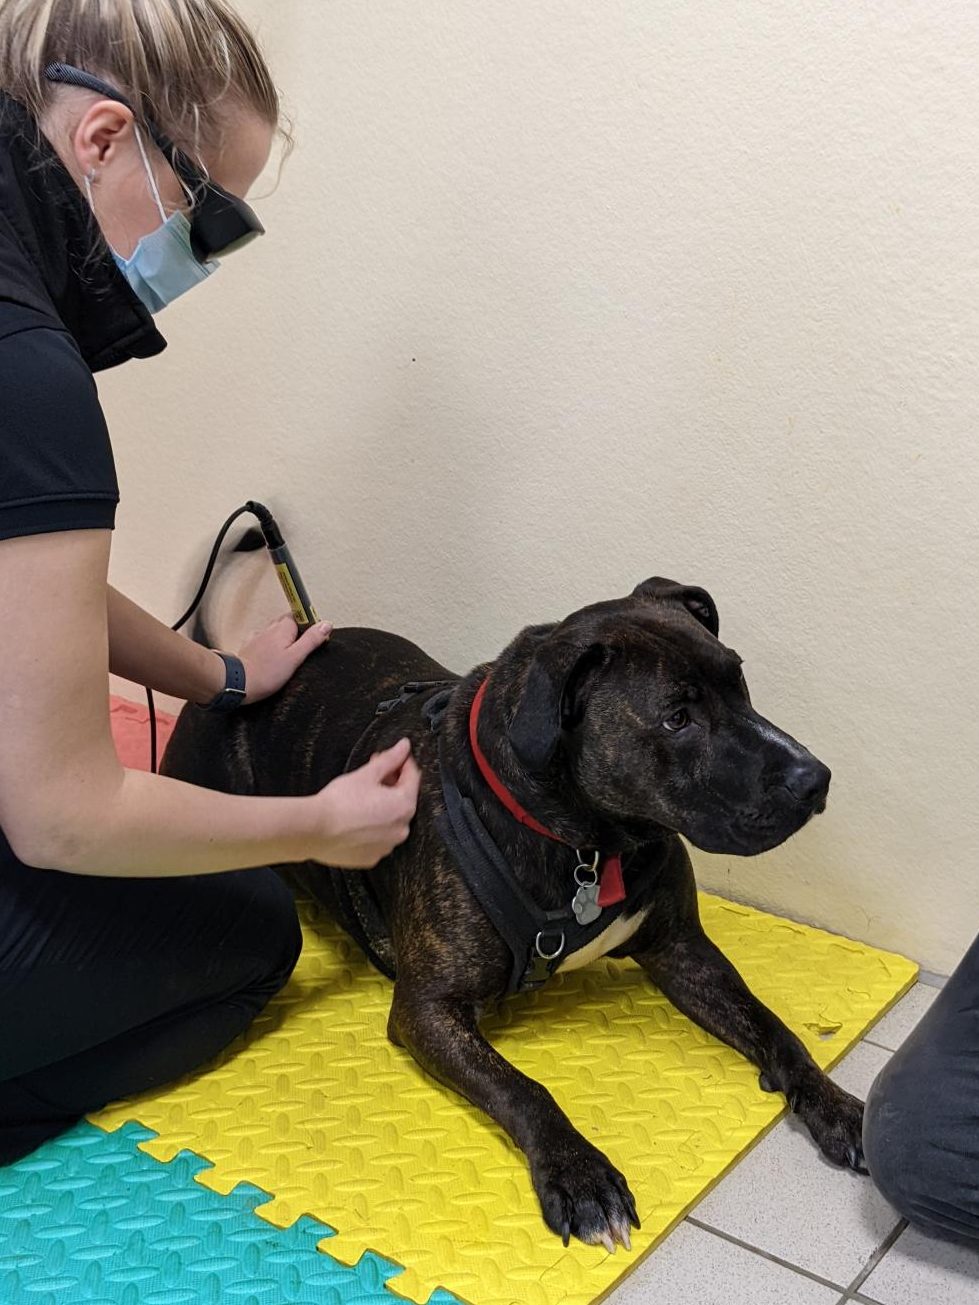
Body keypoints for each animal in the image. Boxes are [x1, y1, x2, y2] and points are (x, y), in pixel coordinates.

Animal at [165, 582, 871, 1252]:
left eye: (739, 679)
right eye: (676, 717)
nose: (815, 779)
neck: (587, 841)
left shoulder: (682, 949)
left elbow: (777, 1030)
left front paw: (839, 1108)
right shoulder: (428, 1008)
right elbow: (523, 1088)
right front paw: (580, 1176)